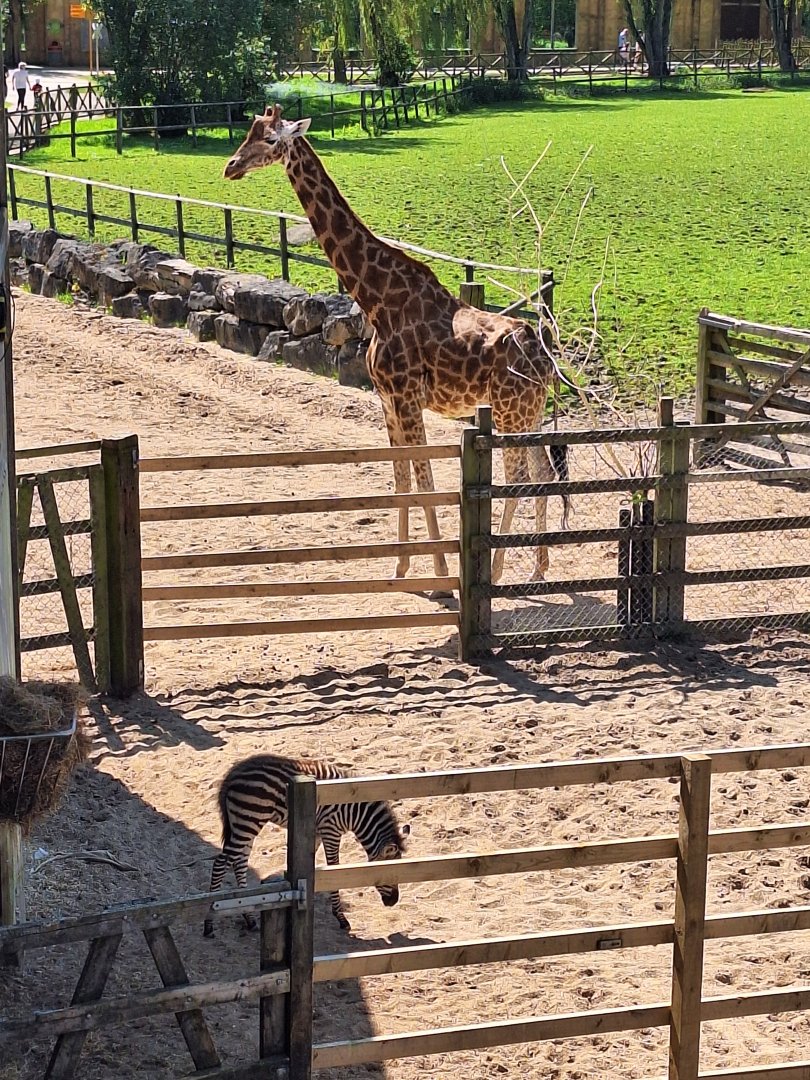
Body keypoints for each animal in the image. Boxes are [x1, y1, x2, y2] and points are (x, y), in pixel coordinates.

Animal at [203, 753, 410, 937]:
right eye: (389, 873)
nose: (393, 902)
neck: (355, 811)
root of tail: (232, 775)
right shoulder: (330, 829)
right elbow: (334, 868)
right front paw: (341, 918)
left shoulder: (317, 832)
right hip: (249, 820)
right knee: (221, 862)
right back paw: (209, 923)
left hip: (245, 824)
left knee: (239, 861)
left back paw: (249, 918)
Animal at [223, 105, 569, 584]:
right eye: (248, 132)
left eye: (271, 140)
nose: (231, 166)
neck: (376, 299)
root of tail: (546, 354)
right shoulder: (385, 398)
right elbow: (401, 479)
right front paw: (402, 566)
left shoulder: (407, 397)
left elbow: (425, 480)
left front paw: (440, 573)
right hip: (528, 411)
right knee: (540, 472)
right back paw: (538, 571)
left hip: (508, 411)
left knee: (517, 477)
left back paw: (497, 571)